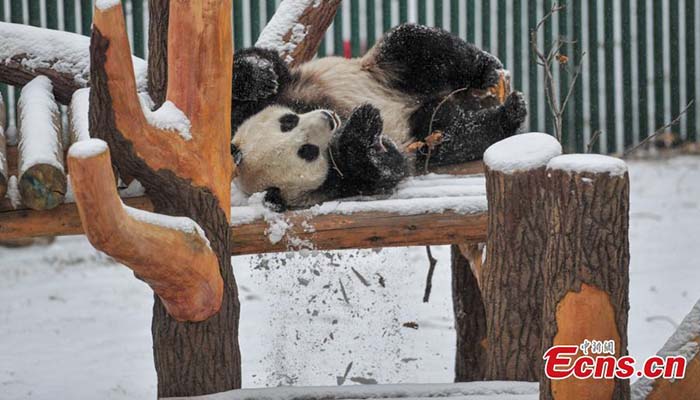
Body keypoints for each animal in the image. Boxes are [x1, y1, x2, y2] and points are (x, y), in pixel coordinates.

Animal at [230, 23, 524, 211]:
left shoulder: (275, 97)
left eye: (288, 122)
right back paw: (506, 116)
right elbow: (386, 168)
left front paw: (258, 75)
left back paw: (487, 70)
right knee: (455, 135)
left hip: (384, 73)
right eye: (308, 151)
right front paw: (363, 128)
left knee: (414, 47)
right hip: (424, 131)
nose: (327, 119)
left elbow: (264, 66)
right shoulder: (342, 183)